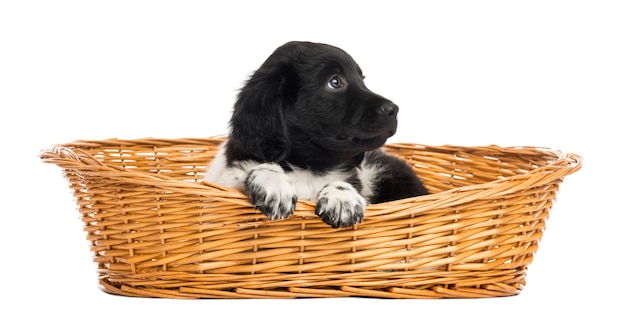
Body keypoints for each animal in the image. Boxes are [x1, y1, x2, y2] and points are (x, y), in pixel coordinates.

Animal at [206, 40, 428, 227]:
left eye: (362, 79)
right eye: (335, 82)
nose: (393, 110)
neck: (310, 168)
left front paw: (342, 198)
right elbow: (261, 167)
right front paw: (274, 184)